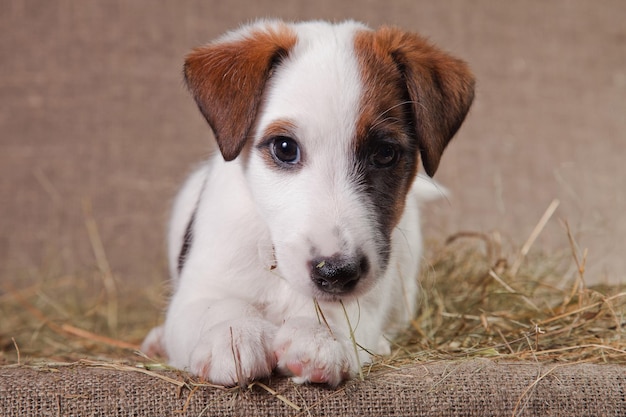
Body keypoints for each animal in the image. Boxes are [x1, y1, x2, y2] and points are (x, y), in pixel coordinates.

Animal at [141, 20, 472, 386]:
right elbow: (218, 305)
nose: (336, 272)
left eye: (385, 153)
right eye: (285, 148)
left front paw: (318, 334)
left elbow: (338, 310)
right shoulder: (196, 292)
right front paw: (233, 332)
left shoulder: (368, 295)